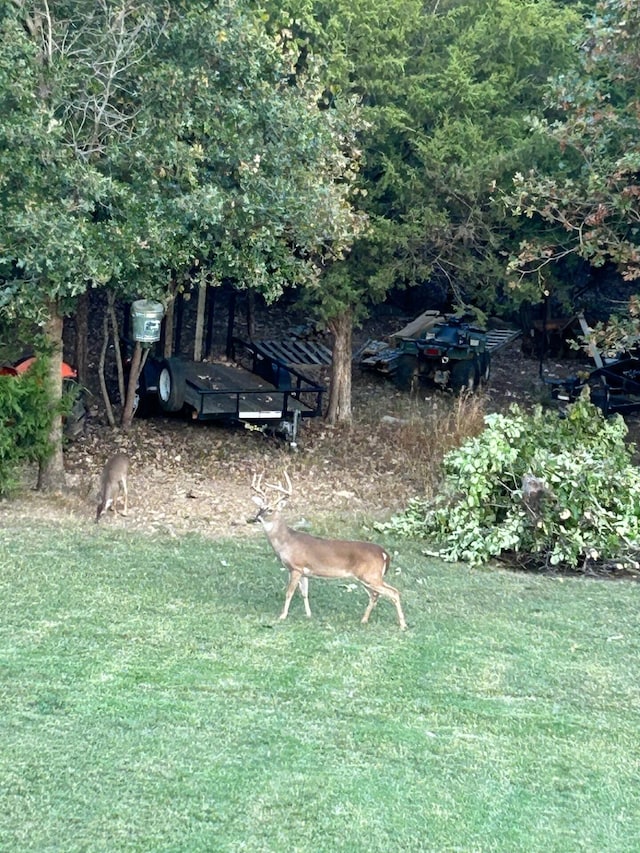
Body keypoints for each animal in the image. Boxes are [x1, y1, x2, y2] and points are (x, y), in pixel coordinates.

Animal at [250, 470, 404, 628]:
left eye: (270, 510)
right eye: (260, 508)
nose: (256, 518)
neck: (286, 542)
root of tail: (384, 553)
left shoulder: (296, 567)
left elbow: (289, 592)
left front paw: (282, 616)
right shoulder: (304, 572)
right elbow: (304, 593)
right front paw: (308, 615)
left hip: (370, 575)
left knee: (394, 592)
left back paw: (402, 625)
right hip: (369, 577)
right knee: (376, 594)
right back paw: (364, 620)